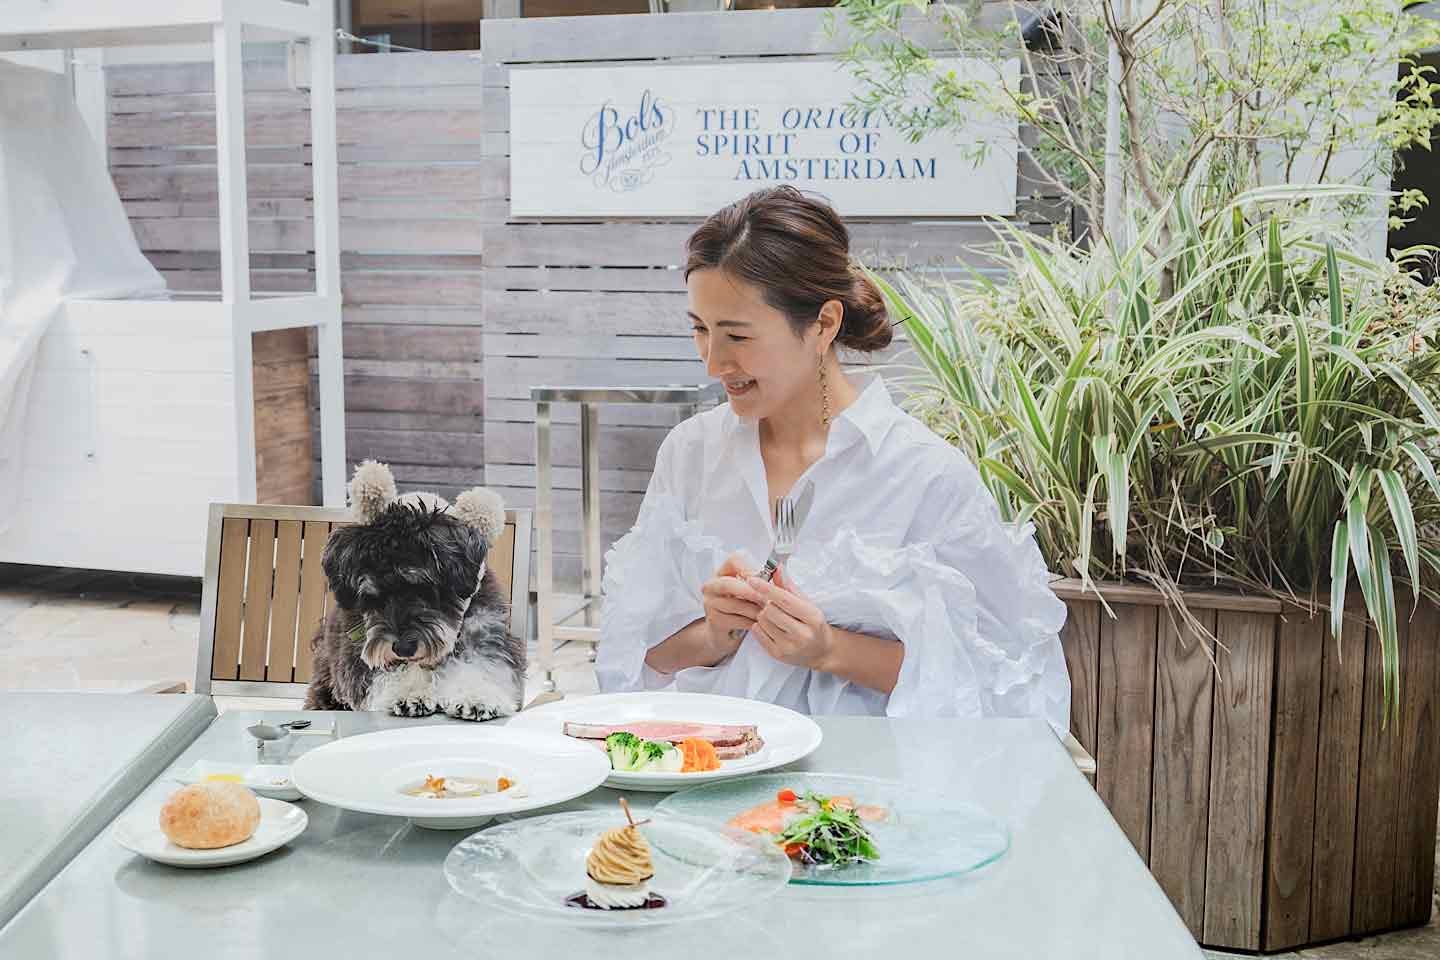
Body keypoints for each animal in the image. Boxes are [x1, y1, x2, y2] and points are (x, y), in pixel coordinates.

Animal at [305, 460, 529, 719]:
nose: (403, 647)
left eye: (425, 589)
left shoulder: (485, 632)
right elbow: (391, 671)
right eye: (372, 597)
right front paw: (410, 695)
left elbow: (482, 664)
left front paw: (477, 698)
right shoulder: (359, 653)